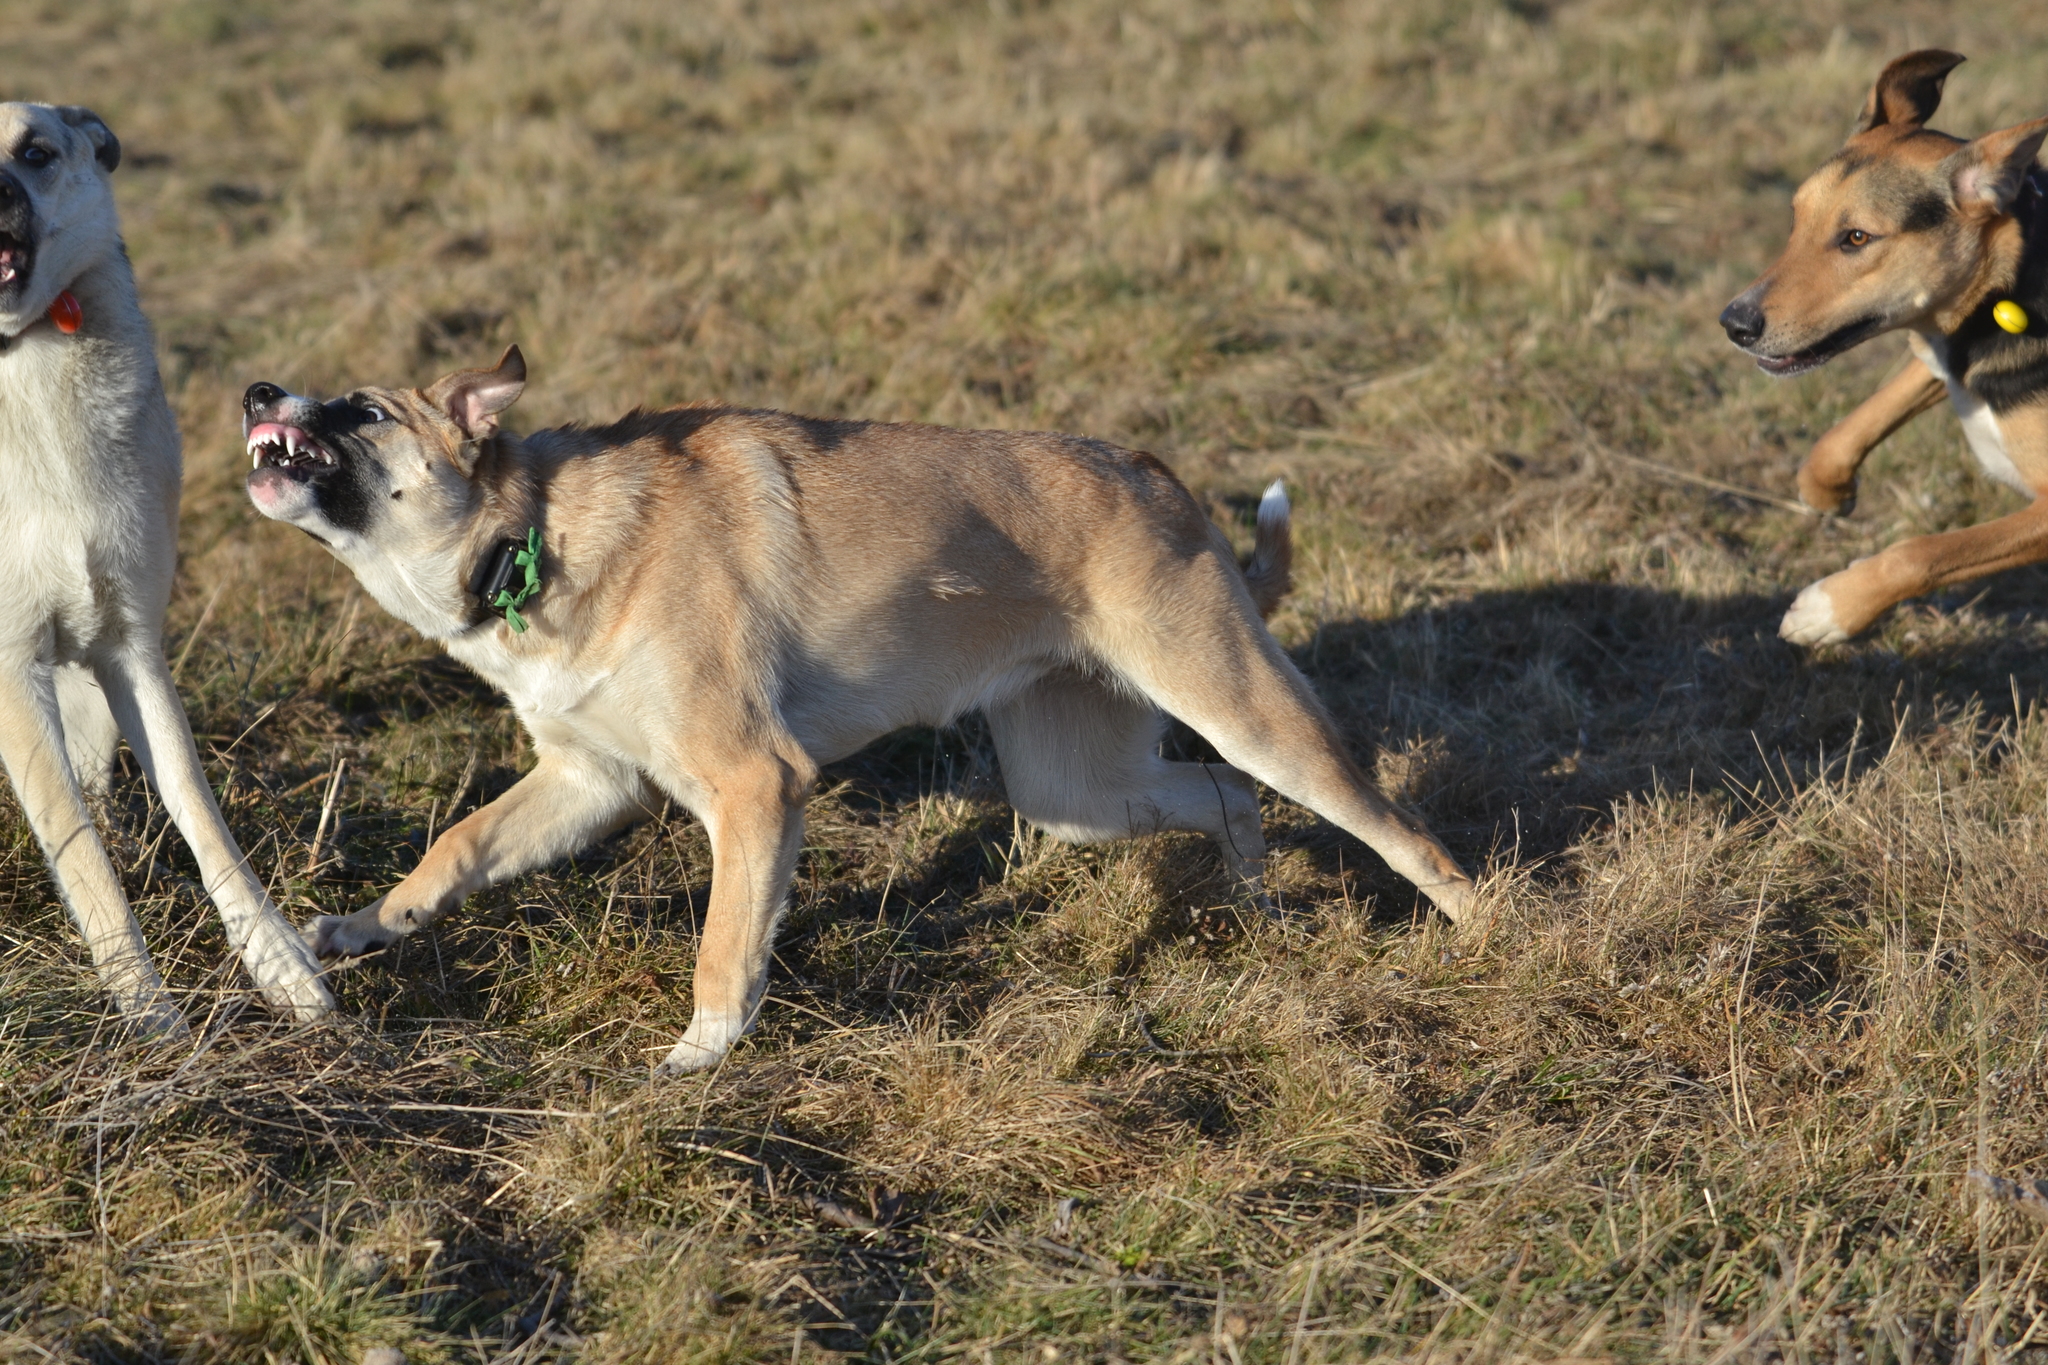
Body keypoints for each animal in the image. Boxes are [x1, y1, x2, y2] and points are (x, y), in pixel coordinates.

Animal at [243, 347, 1474, 1072]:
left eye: (361, 408)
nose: (256, 391)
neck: (532, 530)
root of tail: (1160, 478)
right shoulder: (590, 780)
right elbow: (453, 850)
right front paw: (357, 930)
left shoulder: (754, 785)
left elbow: (724, 949)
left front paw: (697, 1059)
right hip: (1076, 789)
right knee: (1225, 796)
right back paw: (1259, 908)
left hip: (1240, 709)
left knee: (1399, 834)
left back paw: (1491, 932)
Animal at [1720, 50, 2048, 650]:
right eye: (1796, 219)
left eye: (1857, 238)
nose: (1734, 324)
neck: (2013, 283)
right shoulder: (1943, 345)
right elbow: (1864, 415)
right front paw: (1826, 488)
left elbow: (1920, 552)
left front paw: (1829, 609)